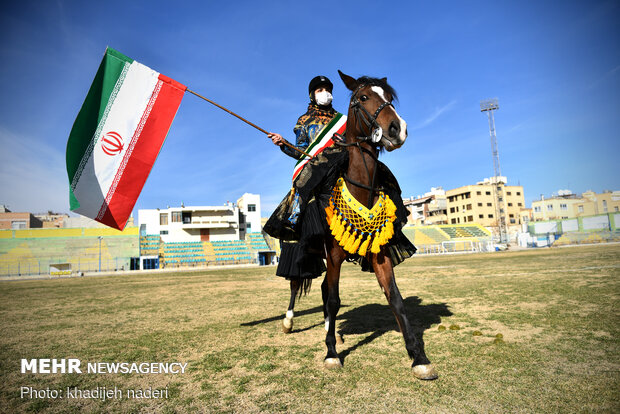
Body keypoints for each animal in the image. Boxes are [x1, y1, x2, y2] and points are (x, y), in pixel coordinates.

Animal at [280, 70, 436, 378]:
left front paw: (418, 357)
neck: (360, 188)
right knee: (296, 284)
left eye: (389, 98)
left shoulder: (380, 253)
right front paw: (331, 354)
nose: (397, 129)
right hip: (300, 250)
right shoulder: (334, 255)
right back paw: (290, 322)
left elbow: (395, 298)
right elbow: (334, 299)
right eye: (362, 97)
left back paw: (330, 331)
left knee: (321, 288)